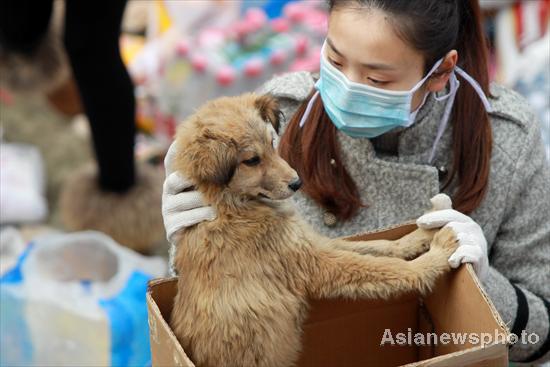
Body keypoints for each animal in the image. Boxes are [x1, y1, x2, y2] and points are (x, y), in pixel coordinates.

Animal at [170, 93, 460, 367]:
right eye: (251, 160)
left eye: (272, 143)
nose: (297, 183)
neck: (231, 204)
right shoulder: (314, 262)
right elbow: (388, 267)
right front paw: (436, 254)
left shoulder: (312, 244)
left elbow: (380, 246)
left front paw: (423, 234)